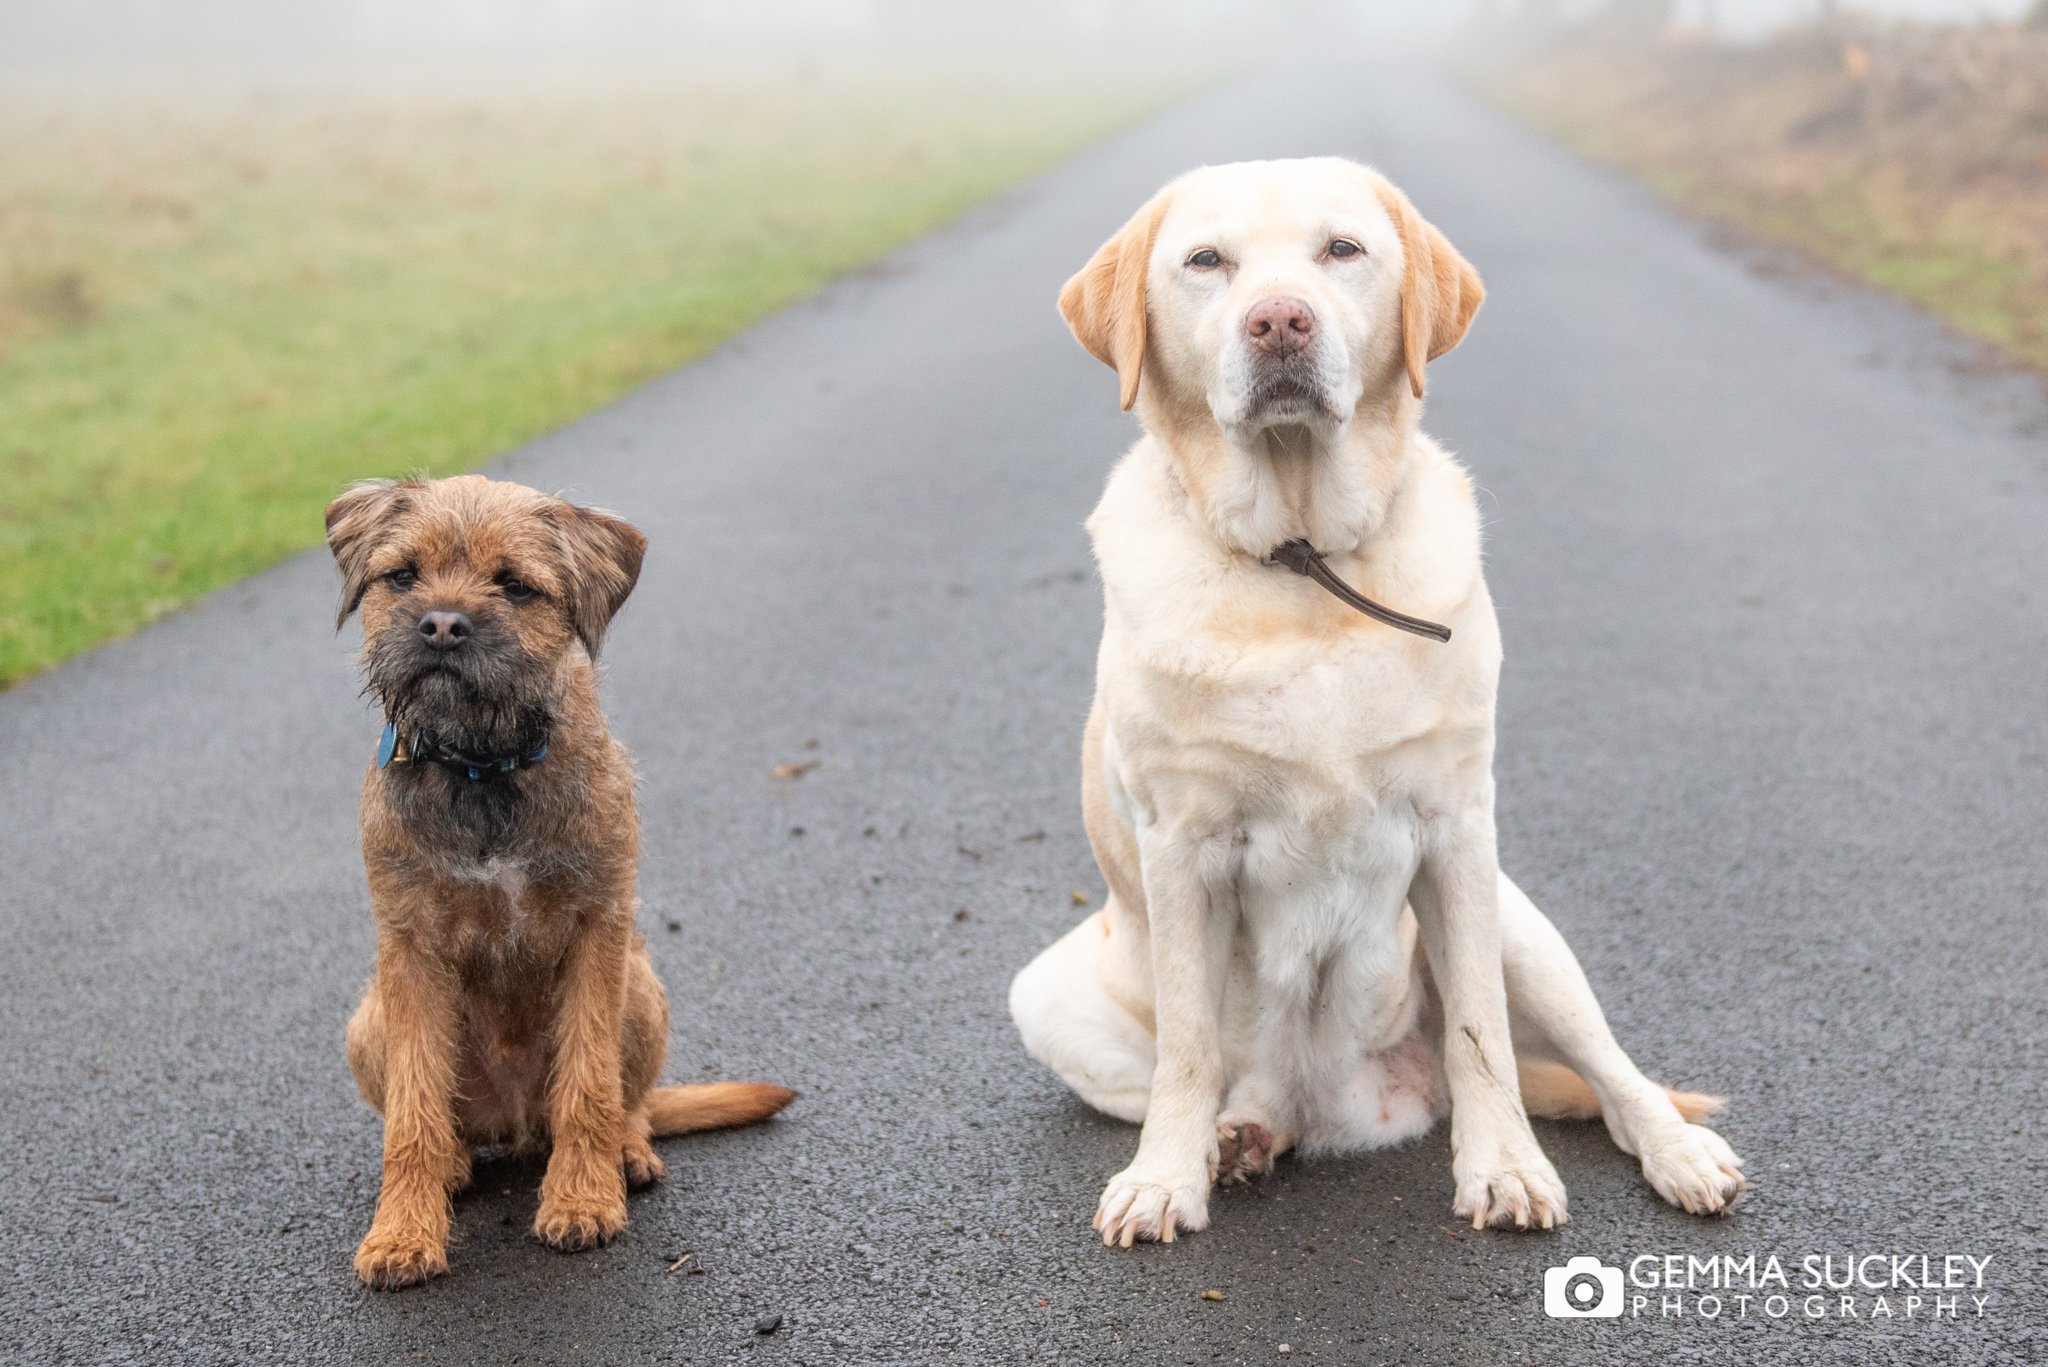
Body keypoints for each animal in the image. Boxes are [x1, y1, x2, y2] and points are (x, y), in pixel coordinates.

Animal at [325, 475, 790, 1287]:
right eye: (403, 576)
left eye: (514, 585)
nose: (441, 625)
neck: (485, 768)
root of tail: (514, 1120)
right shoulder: (409, 950)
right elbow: (412, 1112)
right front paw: (401, 1234)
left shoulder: (597, 928)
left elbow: (589, 1084)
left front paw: (582, 1199)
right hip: (368, 1020)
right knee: (442, 1121)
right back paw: (452, 1166)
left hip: (641, 986)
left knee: (628, 1100)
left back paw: (628, 1152)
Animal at [1007, 160, 1744, 1254]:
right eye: (1205, 261)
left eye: (1340, 250)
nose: (1278, 321)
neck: (1302, 563)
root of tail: (1353, 1103)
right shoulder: (1181, 845)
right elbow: (1188, 1045)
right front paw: (1162, 1180)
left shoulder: (1455, 827)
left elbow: (1479, 1031)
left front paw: (1505, 1167)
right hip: (1045, 994)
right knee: (1230, 1080)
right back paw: (1241, 1132)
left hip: (1523, 927)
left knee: (1608, 1073)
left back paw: (1675, 1150)